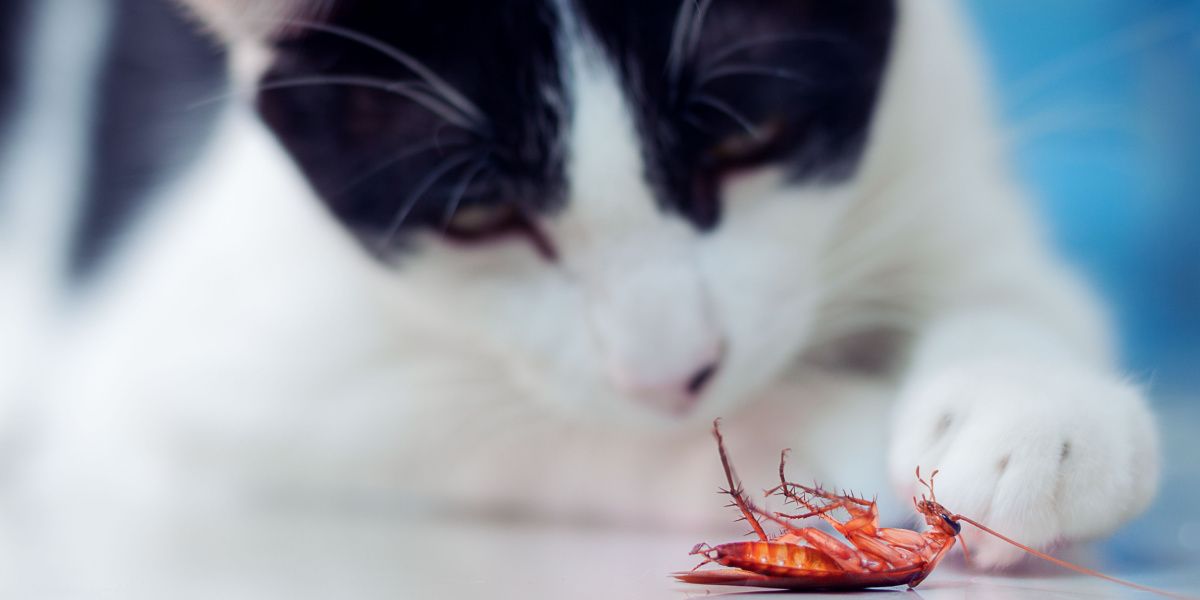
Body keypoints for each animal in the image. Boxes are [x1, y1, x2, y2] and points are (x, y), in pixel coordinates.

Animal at [4, 0, 1156, 566]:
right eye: (479, 220)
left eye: (750, 140)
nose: (676, 372)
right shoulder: (187, 369)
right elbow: (503, 432)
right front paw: (837, 433)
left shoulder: (929, 138)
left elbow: (1008, 281)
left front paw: (1040, 415)